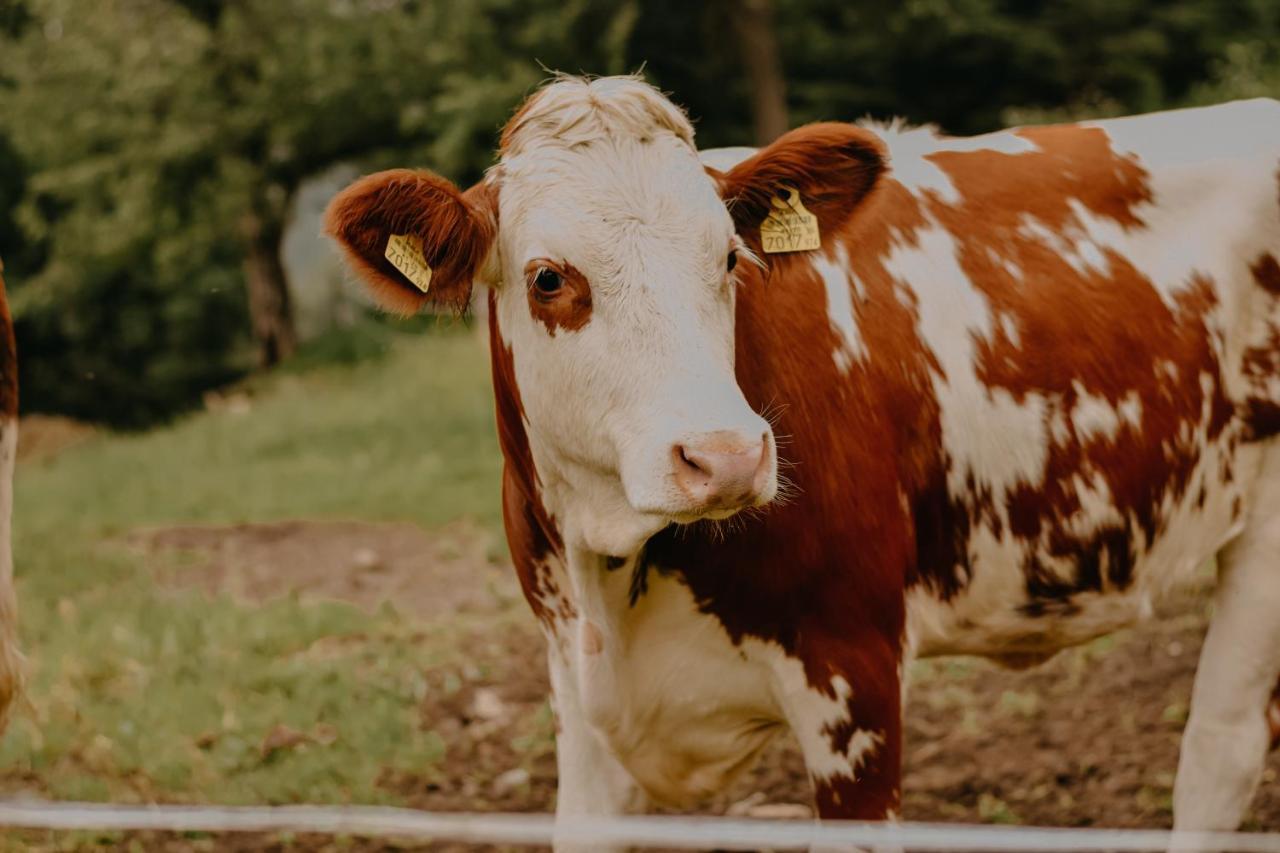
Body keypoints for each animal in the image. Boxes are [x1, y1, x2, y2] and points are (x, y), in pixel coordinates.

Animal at [330, 78, 1280, 835]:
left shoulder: (855, 680)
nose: (724, 456)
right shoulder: (580, 700)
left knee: (1217, 753)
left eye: (729, 257)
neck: (613, 561)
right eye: (548, 278)